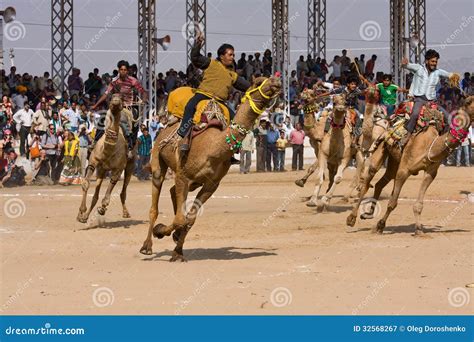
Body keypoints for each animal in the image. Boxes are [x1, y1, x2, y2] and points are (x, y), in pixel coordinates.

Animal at [140, 76, 282, 260]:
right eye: (258, 82)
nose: (276, 81)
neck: (213, 147)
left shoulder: (211, 184)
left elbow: (189, 219)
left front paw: (178, 251)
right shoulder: (183, 175)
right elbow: (181, 219)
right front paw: (160, 231)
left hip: (194, 182)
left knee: (173, 193)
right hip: (158, 157)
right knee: (155, 204)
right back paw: (147, 246)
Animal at [344, 96, 474, 235]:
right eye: (469, 103)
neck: (430, 146)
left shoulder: (430, 172)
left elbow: (418, 205)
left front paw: (419, 230)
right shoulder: (404, 171)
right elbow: (392, 202)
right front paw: (380, 225)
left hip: (394, 161)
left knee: (380, 182)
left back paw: (368, 214)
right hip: (381, 149)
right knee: (367, 182)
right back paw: (351, 218)